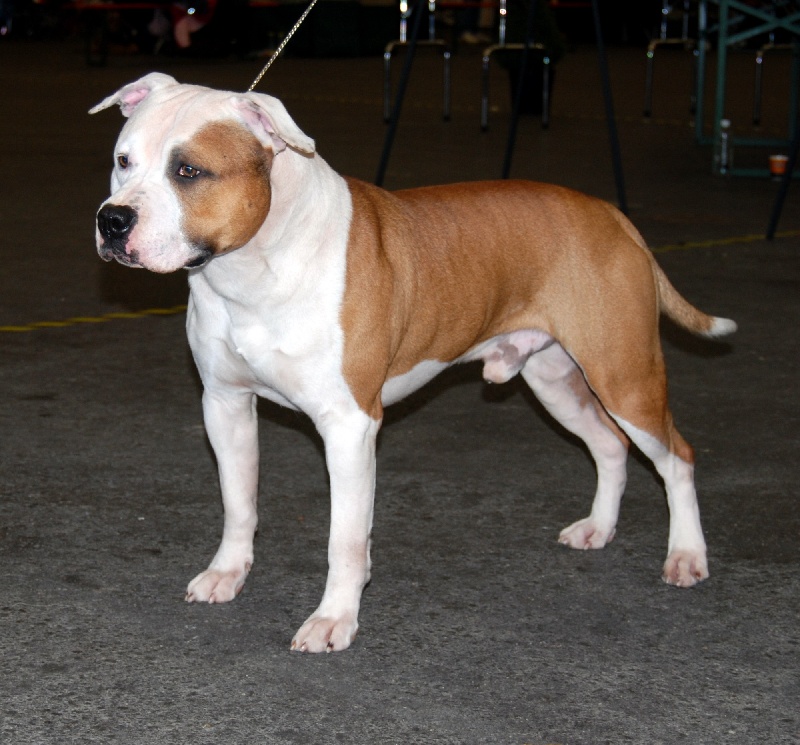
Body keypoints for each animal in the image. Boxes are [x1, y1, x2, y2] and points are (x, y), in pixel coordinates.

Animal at [91, 73, 735, 652]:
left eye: (189, 172)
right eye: (123, 161)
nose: (112, 220)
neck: (254, 266)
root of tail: (611, 215)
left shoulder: (349, 426)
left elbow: (345, 539)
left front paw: (334, 620)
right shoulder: (225, 405)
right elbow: (238, 502)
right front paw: (229, 573)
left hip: (625, 377)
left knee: (677, 457)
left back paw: (686, 555)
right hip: (555, 380)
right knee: (609, 445)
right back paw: (598, 529)